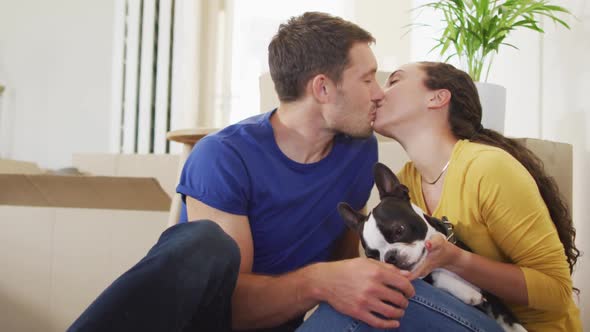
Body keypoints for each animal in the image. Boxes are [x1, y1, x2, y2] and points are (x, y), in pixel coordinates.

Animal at [340, 162, 528, 330]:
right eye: (372, 256)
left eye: (399, 230)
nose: (389, 257)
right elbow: (437, 277)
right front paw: (467, 292)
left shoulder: (493, 293)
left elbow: (512, 323)